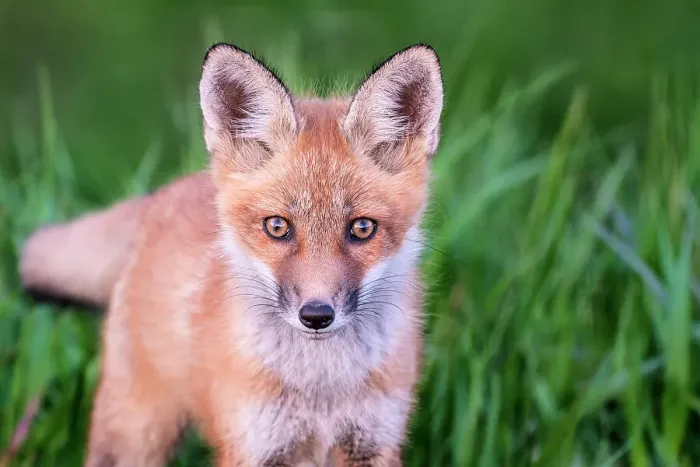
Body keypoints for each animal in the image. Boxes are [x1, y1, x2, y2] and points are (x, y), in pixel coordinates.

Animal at [18, 42, 444, 466]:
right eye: (277, 227)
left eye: (362, 228)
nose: (316, 315)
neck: (322, 387)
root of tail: (161, 195)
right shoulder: (254, 445)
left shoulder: (373, 442)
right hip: (137, 435)